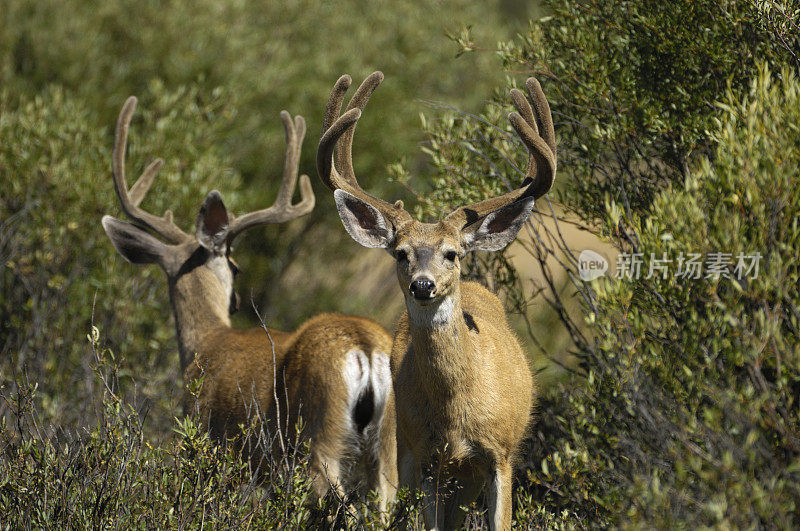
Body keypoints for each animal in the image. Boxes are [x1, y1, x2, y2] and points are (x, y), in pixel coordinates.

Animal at [101, 95, 398, 512]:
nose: (237, 301)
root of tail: (365, 348)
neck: (205, 344)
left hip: (315, 437)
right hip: (386, 446)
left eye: (235, 267)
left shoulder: (206, 444)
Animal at [316, 71, 552, 531]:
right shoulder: (428, 460)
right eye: (401, 253)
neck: (457, 414)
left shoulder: (501, 454)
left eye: (452, 253)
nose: (423, 285)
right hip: (403, 445)